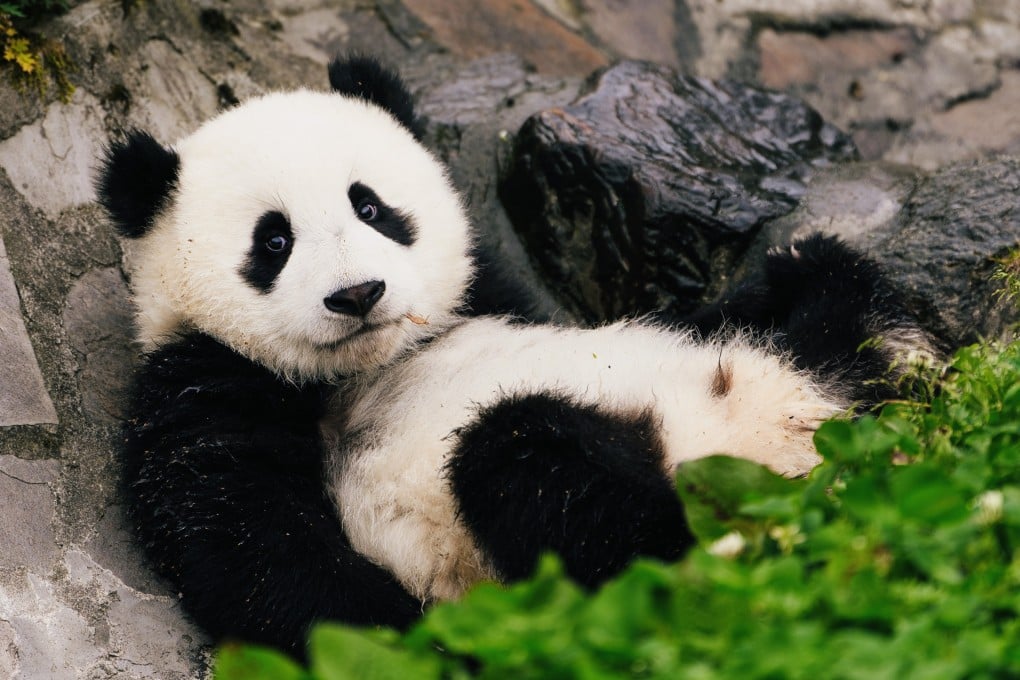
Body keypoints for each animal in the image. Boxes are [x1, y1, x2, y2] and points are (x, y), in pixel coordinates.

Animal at [97, 56, 930, 654]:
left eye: (371, 206)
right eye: (273, 241)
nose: (359, 293)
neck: (375, 361)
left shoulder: (490, 293)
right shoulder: (202, 385)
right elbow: (253, 547)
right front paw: (413, 639)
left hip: (800, 383)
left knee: (828, 303)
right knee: (529, 463)